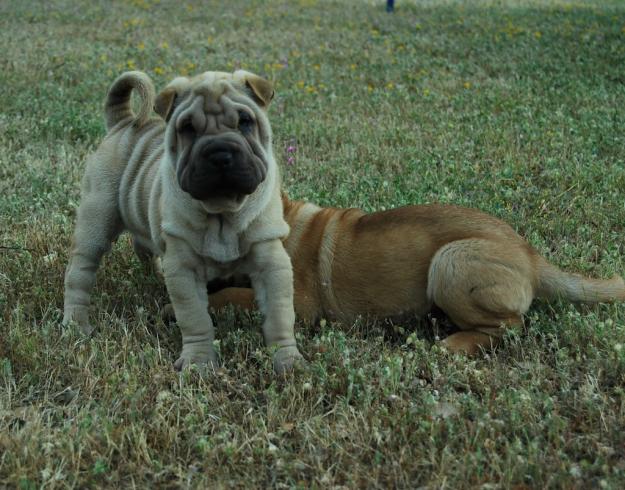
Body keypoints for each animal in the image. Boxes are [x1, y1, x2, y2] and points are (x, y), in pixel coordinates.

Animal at [64, 71, 304, 374]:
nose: (220, 153)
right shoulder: (184, 269)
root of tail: (123, 122)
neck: (222, 212)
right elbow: (195, 318)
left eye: (245, 121)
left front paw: (287, 359)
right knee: (80, 271)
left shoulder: (271, 261)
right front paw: (198, 362)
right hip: (96, 221)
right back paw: (76, 324)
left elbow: (279, 314)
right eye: (188, 128)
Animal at [206, 193, 624, 354]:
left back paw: (454, 344)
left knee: (511, 326)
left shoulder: (299, 304)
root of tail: (532, 255)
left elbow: (231, 296)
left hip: (449, 262)